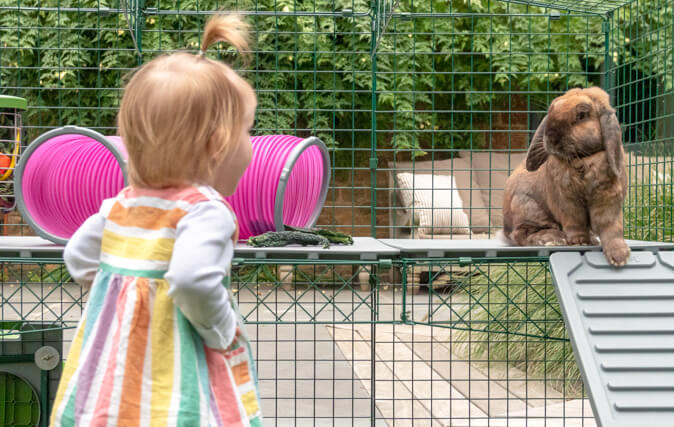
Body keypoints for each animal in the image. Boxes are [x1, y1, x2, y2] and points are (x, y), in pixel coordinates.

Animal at [502, 87, 628, 266]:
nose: (551, 138)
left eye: (582, 115)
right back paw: (553, 239)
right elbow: (575, 222)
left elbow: (611, 227)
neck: (581, 158)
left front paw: (620, 257)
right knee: (521, 233)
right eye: (551, 111)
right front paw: (579, 242)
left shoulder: (608, 199)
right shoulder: (567, 201)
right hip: (525, 204)